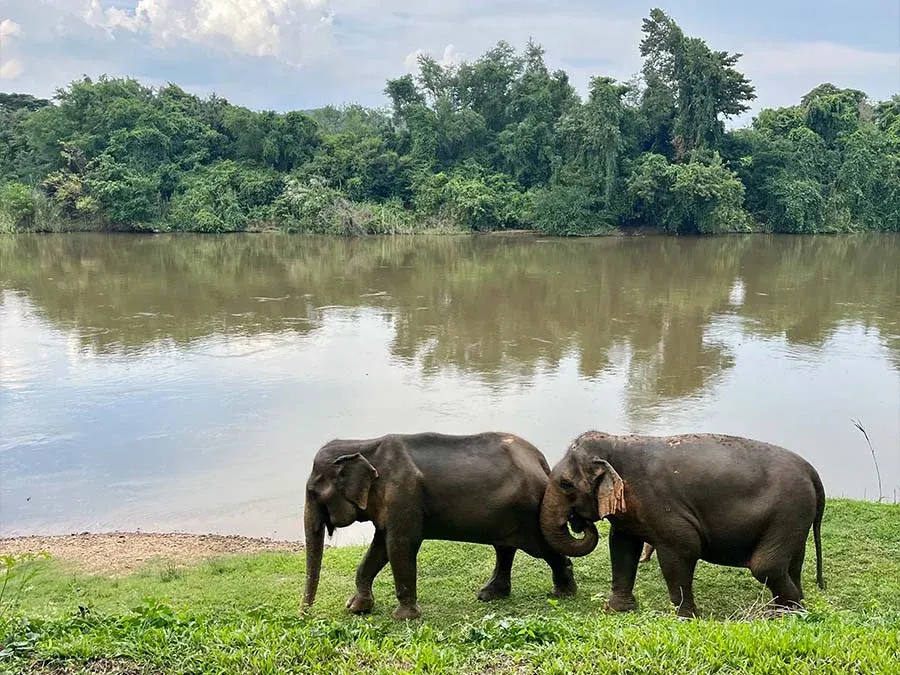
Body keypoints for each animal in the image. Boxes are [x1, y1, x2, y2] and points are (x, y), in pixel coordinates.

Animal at [302, 432, 578, 620]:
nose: (304, 614)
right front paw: (356, 607)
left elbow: (400, 545)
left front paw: (403, 617)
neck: (363, 445)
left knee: (542, 548)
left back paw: (564, 593)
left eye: (312, 493)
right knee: (504, 548)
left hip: (529, 511)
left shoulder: (403, 495)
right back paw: (489, 595)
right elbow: (380, 546)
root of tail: (541, 461)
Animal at [539, 431, 825, 617]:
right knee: (792, 563)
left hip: (789, 510)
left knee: (766, 566)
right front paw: (615, 610)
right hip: (794, 517)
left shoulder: (664, 507)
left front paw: (686, 618)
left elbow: (683, 549)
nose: (577, 521)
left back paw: (789, 613)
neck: (616, 442)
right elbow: (621, 546)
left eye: (565, 484)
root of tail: (812, 472)